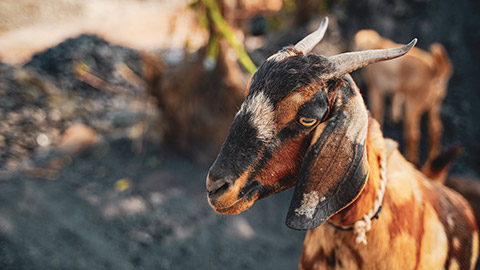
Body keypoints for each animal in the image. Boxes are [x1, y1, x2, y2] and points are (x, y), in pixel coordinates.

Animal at [352, 29, 454, 165]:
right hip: (434, 105)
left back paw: (411, 160)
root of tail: (435, 70)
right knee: (435, 129)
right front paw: (394, 117)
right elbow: (396, 98)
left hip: (413, 105)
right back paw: (432, 158)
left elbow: (378, 110)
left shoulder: (376, 89)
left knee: (413, 134)